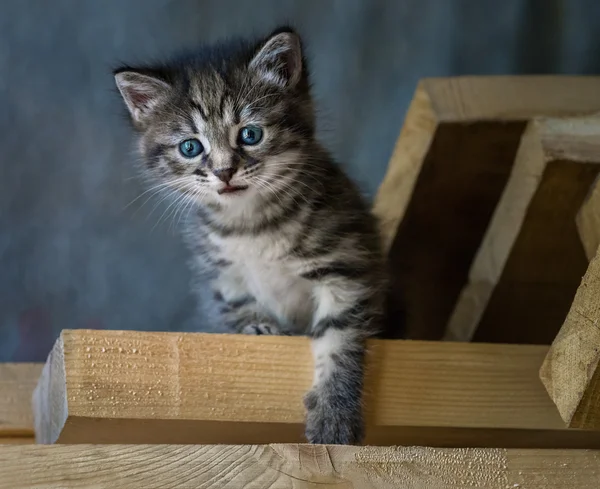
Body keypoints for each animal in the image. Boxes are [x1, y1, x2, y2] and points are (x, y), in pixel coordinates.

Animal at [114, 27, 386, 446]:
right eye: (190, 147)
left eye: (250, 134)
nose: (225, 171)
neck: (252, 224)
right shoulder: (222, 275)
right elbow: (239, 305)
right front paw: (259, 326)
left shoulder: (344, 264)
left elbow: (339, 340)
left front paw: (334, 414)